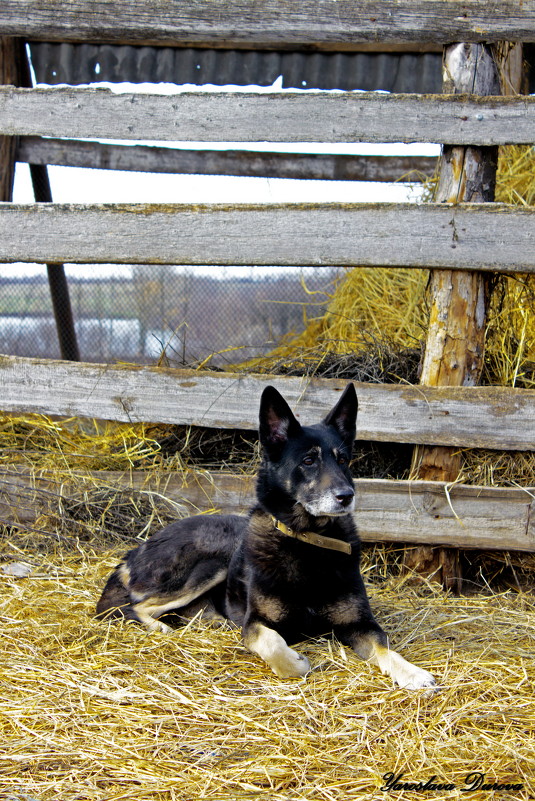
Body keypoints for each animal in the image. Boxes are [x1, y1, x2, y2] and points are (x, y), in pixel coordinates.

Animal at [97, 384, 436, 692]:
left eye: (342, 460)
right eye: (308, 461)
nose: (346, 496)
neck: (307, 540)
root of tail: (137, 550)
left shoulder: (360, 624)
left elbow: (385, 649)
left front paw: (413, 673)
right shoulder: (256, 622)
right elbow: (271, 644)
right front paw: (295, 662)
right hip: (211, 559)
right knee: (136, 606)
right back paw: (162, 627)